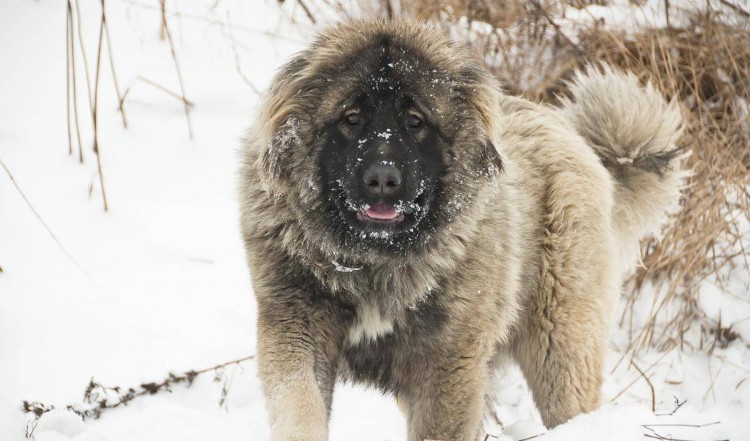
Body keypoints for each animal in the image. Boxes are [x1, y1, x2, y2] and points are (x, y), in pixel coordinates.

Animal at [239, 18, 688, 440]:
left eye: (415, 120)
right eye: (351, 118)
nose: (382, 178)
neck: (375, 263)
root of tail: (574, 137)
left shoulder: (449, 364)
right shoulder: (297, 329)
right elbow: (300, 406)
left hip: (560, 349)